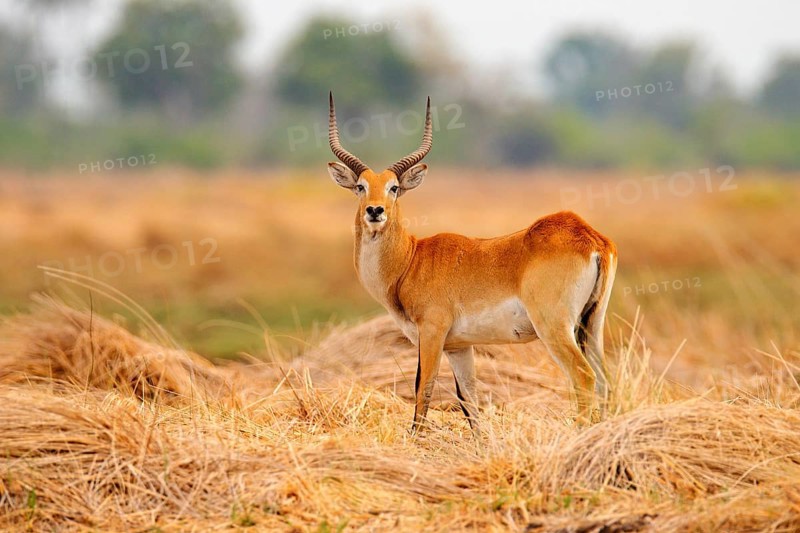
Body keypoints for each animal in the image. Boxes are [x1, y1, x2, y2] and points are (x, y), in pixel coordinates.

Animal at [327, 92, 617, 433]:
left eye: (393, 187)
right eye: (360, 186)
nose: (375, 211)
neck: (411, 260)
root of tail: (589, 236)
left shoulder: (432, 333)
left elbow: (423, 391)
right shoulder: (459, 347)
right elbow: (469, 401)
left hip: (555, 327)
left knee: (584, 377)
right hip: (592, 325)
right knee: (605, 380)